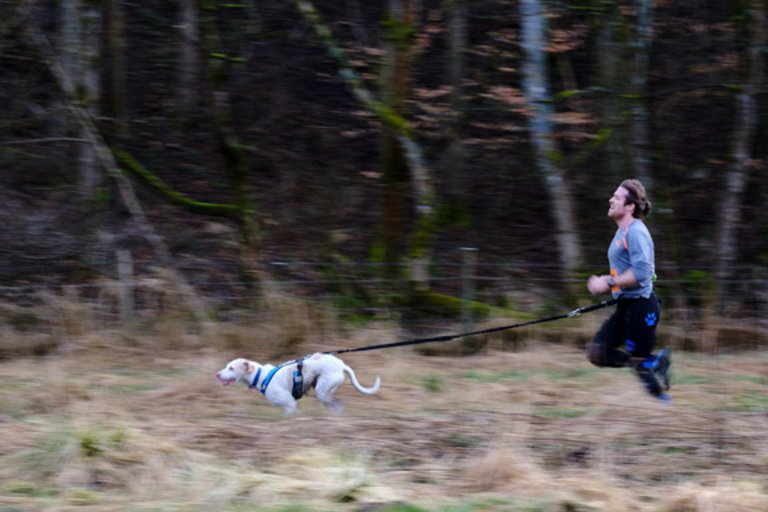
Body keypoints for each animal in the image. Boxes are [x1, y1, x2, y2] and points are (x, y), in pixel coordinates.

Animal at [214, 354, 380, 414]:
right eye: (227, 366)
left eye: (231, 368)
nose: (217, 375)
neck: (260, 376)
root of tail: (341, 364)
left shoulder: (289, 404)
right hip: (325, 392)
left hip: (322, 391)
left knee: (338, 404)